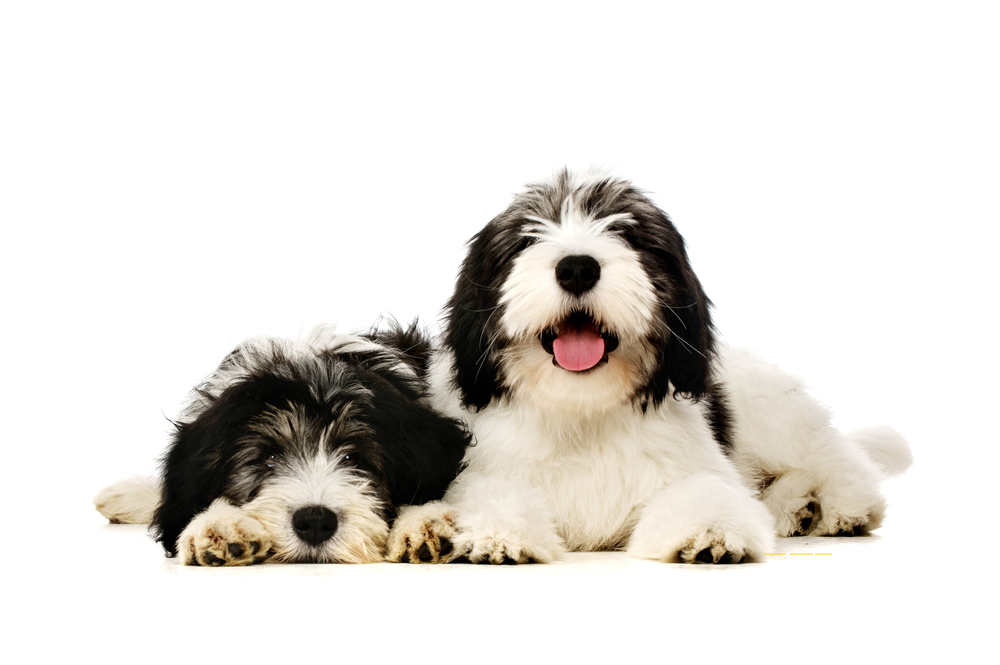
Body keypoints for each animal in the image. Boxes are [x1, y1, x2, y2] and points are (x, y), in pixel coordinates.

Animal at [384, 169, 916, 564]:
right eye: (525, 240)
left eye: (627, 233)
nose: (577, 267)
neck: (584, 413)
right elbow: (492, 496)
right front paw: (498, 533)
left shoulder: (694, 465)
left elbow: (706, 494)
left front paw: (708, 531)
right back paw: (797, 507)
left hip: (774, 415)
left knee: (840, 458)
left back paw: (840, 508)